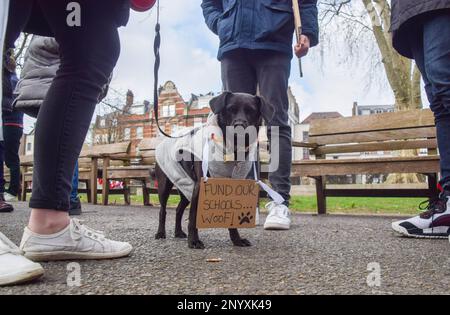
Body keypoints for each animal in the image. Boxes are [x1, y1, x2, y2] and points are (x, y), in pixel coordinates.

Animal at [154, 92, 274, 249]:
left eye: (251, 110)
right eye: (230, 109)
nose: (239, 126)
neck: (232, 150)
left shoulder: (232, 188)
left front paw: (236, 239)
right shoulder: (200, 187)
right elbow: (193, 217)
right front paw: (194, 241)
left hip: (186, 185)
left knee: (179, 209)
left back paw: (178, 232)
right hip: (165, 185)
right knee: (162, 210)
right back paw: (160, 233)